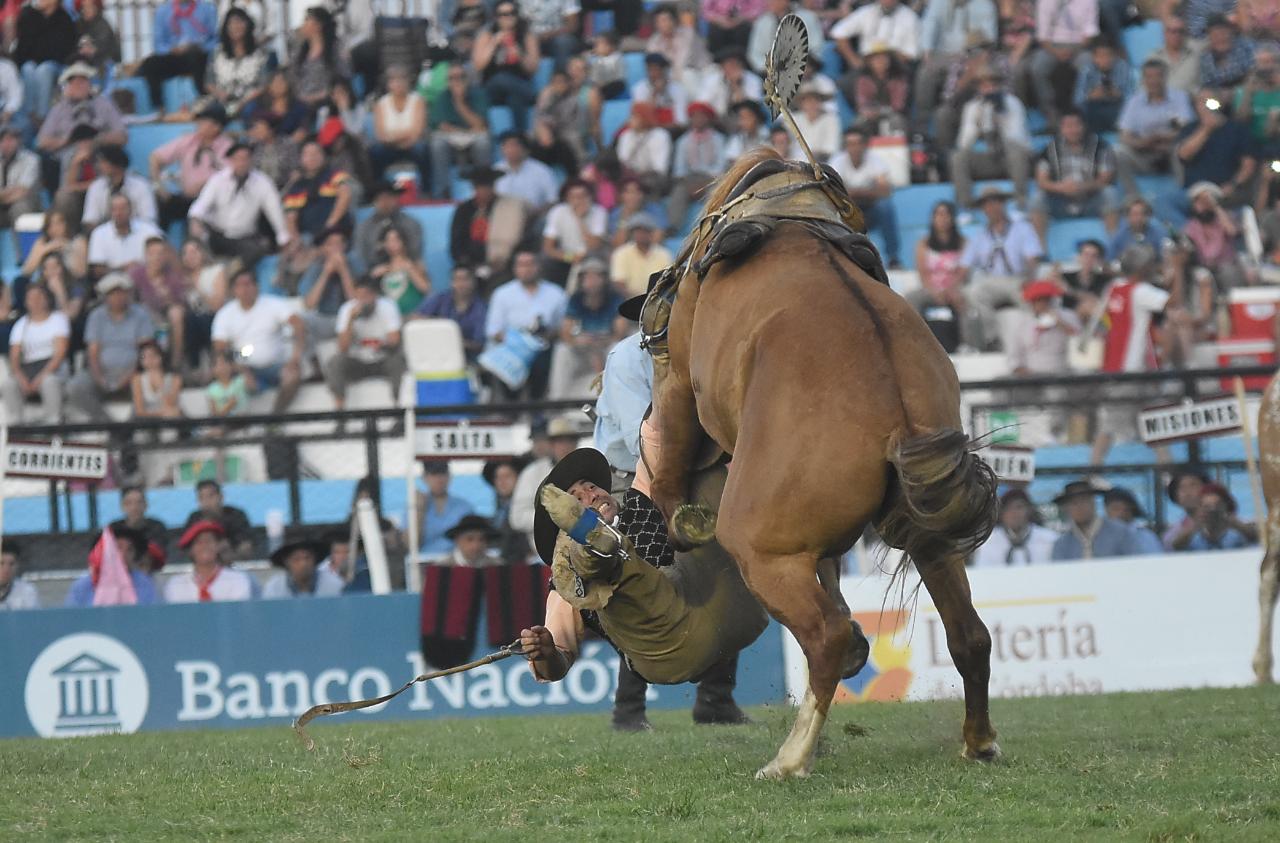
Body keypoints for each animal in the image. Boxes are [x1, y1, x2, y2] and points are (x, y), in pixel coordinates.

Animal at [650, 150, 998, 777]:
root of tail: (896, 406)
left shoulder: (680, 369)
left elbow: (673, 433)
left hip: (762, 549)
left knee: (826, 637)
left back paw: (791, 757)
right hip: (931, 537)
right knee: (970, 636)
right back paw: (979, 741)